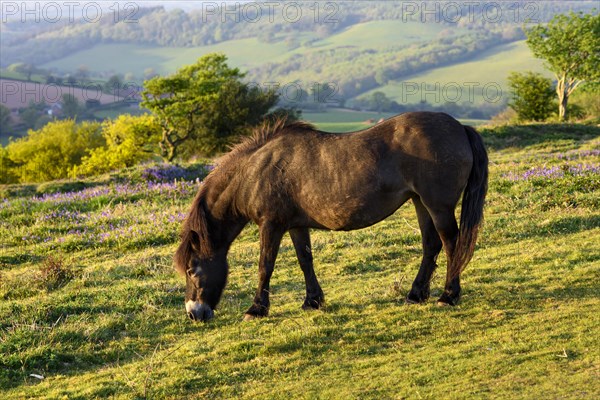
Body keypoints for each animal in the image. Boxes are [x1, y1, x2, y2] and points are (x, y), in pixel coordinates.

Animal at [173, 112, 488, 322]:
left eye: (191, 269)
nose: (194, 314)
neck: (256, 170)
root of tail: (460, 127)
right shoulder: (295, 225)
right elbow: (305, 260)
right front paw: (312, 301)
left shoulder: (271, 225)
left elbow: (265, 266)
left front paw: (256, 309)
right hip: (421, 203)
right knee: (431, 246)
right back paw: (416, 294)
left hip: (438, 206)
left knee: (451, 244)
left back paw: (448, 296)